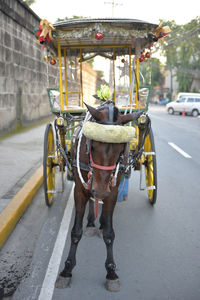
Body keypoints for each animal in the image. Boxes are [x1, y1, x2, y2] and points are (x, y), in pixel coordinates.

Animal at [55, 100, 143, 290]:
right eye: (93, 146)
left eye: (121, 148)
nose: (101, 191)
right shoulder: (80, 190)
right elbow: (76, 232)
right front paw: (67, 270)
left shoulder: (112, 192)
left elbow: (110, 234)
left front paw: (111, 272)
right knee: (92, 201)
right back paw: (90, 222)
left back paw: (100, 223)